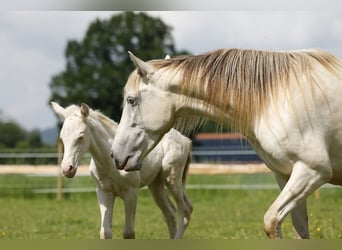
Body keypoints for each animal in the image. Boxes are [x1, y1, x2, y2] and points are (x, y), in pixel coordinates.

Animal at [52, 101, 194, 238]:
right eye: (62, 137)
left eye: (80, 136)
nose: (67, 169)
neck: (110, 163)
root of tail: (186, 140)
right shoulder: (104, 192)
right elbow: (105, 232)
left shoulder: (131, 192)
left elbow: (129, 232)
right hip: (155, 184)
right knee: (170, 212)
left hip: (172, 179)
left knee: (185, 210)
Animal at [110, 48, 342, 238]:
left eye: (131, 100)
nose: (115, 155)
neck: (274, 98)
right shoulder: (286, 175)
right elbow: (299, 229)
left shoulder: (312, 171)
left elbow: (271, 221)